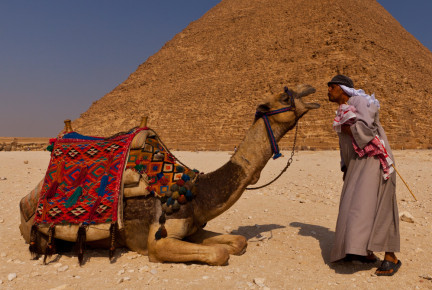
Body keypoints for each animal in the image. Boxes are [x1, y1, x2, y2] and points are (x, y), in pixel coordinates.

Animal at [19, 84, 318, 266]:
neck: (198, 192)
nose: (311, 89)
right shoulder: (158, 242)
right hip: (40, 233)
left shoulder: (193, 228)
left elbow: (238, 241)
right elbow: (220, 252)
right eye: (284, 96)